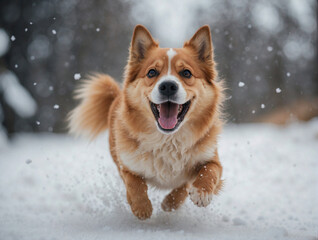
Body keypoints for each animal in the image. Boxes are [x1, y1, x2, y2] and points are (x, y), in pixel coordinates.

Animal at [69, 24, 224, 219]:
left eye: (186, 73)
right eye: (152, 72)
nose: (168, 86)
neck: (168, 139)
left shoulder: (212, 158)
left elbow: (208, 172)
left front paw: (195, 195)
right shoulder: (126, 163)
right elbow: (133, 182)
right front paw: (141, 207)